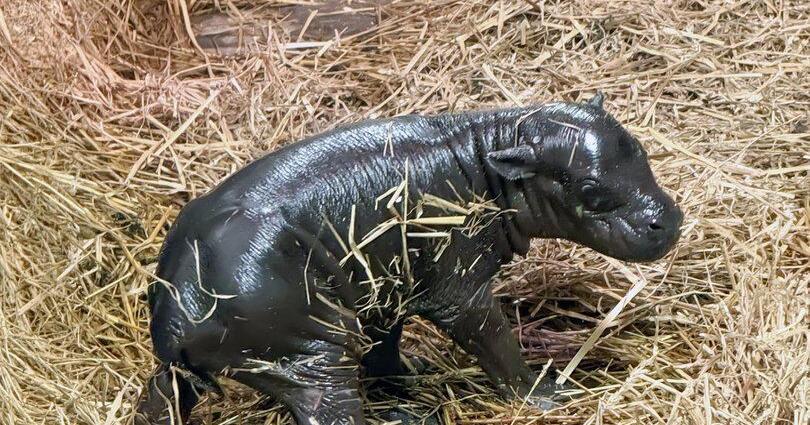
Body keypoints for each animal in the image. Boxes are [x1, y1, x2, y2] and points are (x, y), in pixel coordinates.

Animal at [136, 93, 682, 424]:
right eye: (588, 189)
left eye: (640, 149)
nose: (669, 220)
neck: (488, 154)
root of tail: (175, 316)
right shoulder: (459, 292)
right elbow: (496, 342)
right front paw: (546, 396)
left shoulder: (388, 286)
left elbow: (385, 345)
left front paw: (408, 377)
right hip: (312, 359)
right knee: (327, 409)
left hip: (201, 368)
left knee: (160, 396)